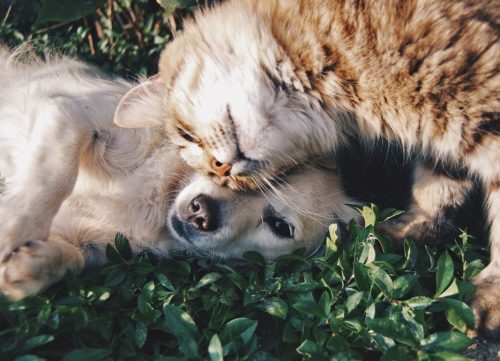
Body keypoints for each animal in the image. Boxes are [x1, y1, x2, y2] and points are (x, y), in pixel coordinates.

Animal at [114, 0, 500, 338]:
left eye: (187, 136)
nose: (222, 169)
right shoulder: (444, 142)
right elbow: (437, 188)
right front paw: (407, 233)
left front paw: (491, 300)